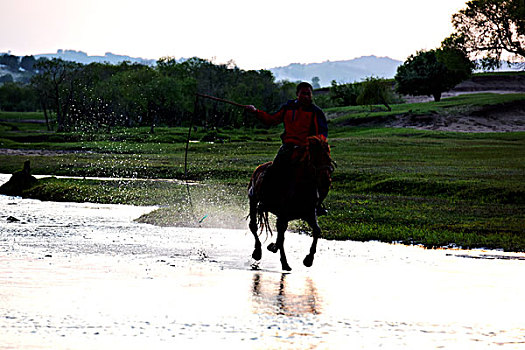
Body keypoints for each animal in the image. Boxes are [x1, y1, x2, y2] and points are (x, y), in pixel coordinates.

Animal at [248, 136, 334, 270]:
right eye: (314, 156)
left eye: (328, 154)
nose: (326, 180)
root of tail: (259, 168)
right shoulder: (283, 215)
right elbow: (280, 238)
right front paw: (278, 255)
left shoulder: (309, 214)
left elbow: (316, 231)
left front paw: (308, 259)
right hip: (253, 200)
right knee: (253, 226)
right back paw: (258, 252)